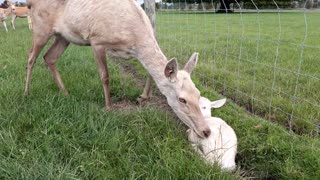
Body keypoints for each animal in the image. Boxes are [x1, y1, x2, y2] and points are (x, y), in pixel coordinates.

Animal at [23, 0, 211, 138]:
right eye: (182, 99)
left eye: (198, 94)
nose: (206, 131)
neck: (134, 38)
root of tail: (30, 2)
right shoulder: (97, 40)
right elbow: (105, 76)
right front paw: (108, 107)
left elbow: (150, 73)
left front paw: (142, 97)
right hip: (41, 27)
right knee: (31, 57)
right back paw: (26, 92)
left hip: (64, 36)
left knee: (49, 57)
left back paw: (65, 92)